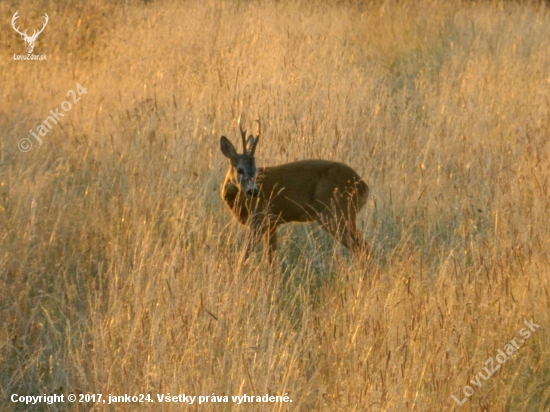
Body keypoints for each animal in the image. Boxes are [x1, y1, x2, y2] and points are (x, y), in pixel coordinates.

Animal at [221, 119, 370, 262]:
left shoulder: (259, 219)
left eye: (255, 169)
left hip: (334, 213)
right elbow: (272, 259)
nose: (253, 191)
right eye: (240, 170)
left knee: (361, 248)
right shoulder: (272, 223)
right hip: (344, 215)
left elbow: (245, 256)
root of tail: (363, 186)